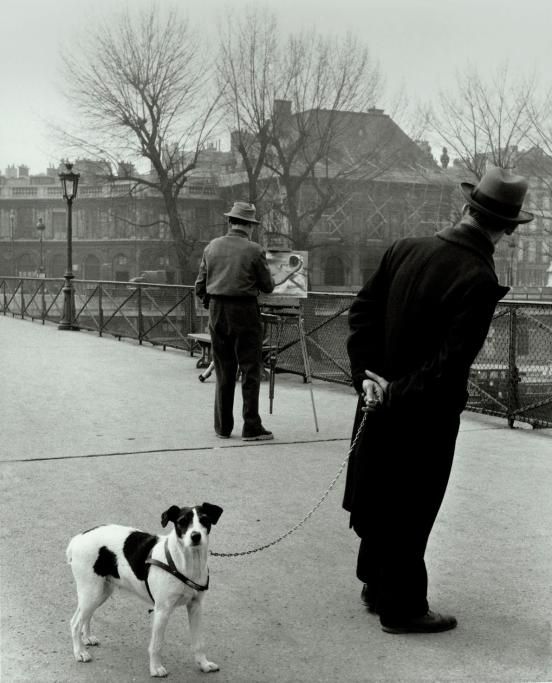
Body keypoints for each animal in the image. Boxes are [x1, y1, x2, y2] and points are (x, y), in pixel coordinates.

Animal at [66, 502, 223, 678]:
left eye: (204, 520)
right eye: (182, 521)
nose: (196, 536)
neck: (185, 564)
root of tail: (78, 539)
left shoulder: (195, 607)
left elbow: (198, 642)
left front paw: (204, 664)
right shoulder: (162, 610)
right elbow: (157, 645)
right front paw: (155, 668)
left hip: (100, 592)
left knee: (85, 616)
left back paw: (86, 638)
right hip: (91, 592)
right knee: (75, 623)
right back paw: (79, 652)